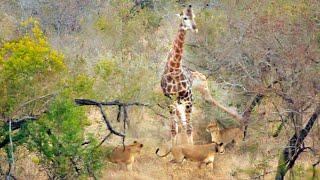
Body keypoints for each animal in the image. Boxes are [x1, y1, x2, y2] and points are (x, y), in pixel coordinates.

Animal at [160, 4, 242, 146]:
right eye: (185, 17)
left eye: (194, 16)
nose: (195, 27)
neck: (173, 68)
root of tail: (200, 74)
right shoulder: (169, 100)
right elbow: (174, 130)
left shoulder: (188, 99)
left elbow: (189, 128)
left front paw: (190, 148)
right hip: (181, 102)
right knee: (181, 125)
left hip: (202, 90)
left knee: (212, 103)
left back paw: (239, 118)